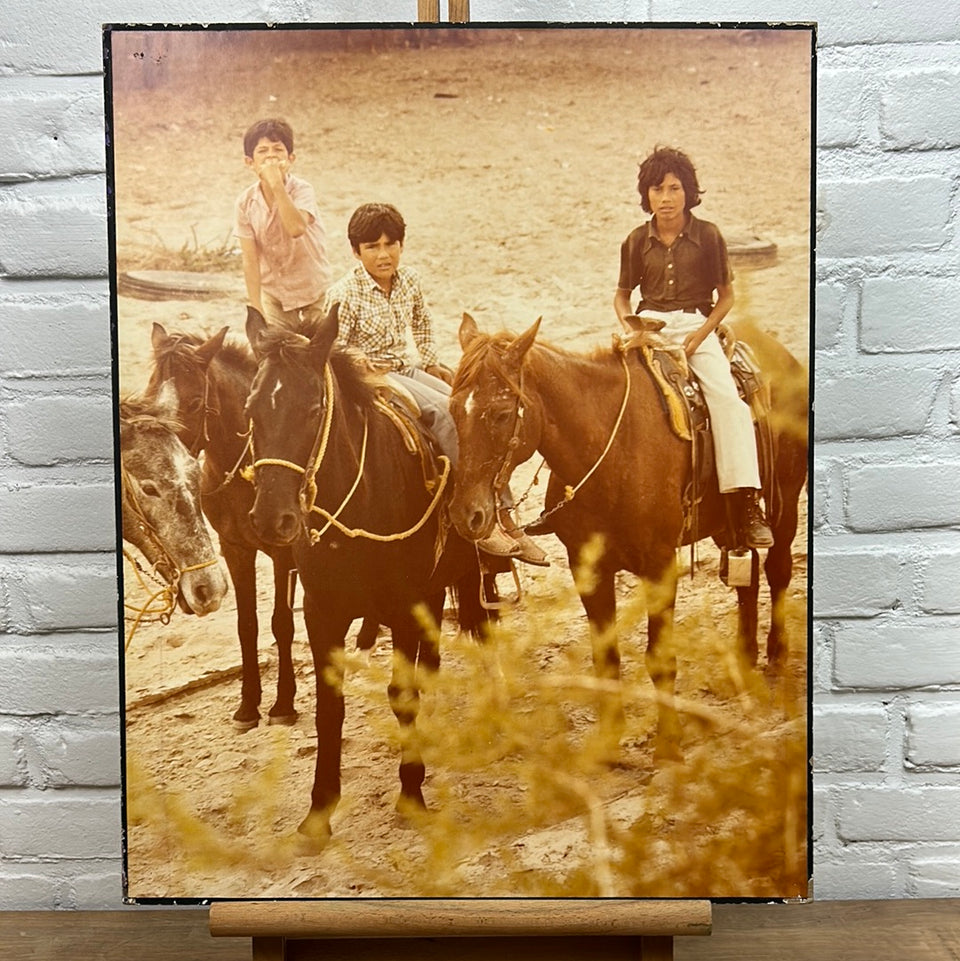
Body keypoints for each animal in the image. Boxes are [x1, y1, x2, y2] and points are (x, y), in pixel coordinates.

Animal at [244, 302, 496, 848]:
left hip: (467, 575)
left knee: (475, 626)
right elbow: (329, 707)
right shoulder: (323, 614)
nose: (272, 519)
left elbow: (401, 695)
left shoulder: (401, 608)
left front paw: (412, 793)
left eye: (312, 410)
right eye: (251, 411)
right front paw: (319, 809)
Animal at [446, 316, 808, 756]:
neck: (613, 450)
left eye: (500, 414)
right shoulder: (588, 569)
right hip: (728, 521)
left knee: (777, 571)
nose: (466, 514)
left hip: (785, 503)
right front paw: (608, 740)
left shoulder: (660, 566)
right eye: (453, 410)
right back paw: (744, 661)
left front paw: (669, 742)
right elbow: (606, 656)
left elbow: (659, 656)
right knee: (747, 580)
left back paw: (775, 657)